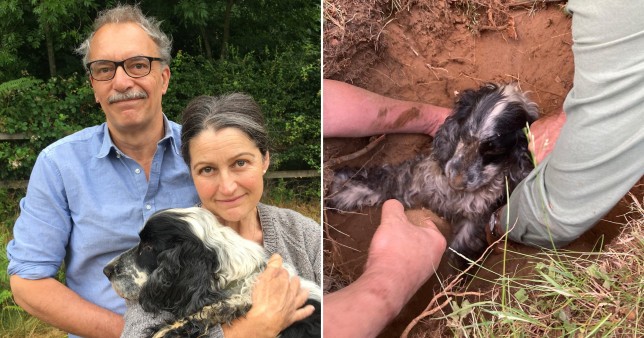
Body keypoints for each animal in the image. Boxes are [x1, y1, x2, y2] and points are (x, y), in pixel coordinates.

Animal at [328, 84, 540, 266]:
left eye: (494, 150)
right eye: (463, 134)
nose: (456, 181)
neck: (453, 194)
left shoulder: (474, 223)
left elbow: (456, 253)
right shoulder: (413, 181)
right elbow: (379, 181)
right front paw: (339, 190)